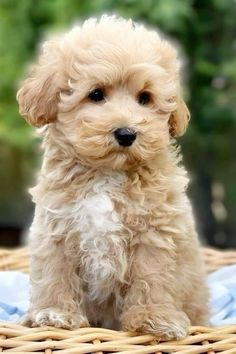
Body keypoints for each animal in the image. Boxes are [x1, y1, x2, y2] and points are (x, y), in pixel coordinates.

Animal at [16, 16, 208, 340]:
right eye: (96, 94)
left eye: (145, 98)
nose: (126, 133)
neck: (107, 174)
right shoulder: (57, 228)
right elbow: (55, 272)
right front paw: (55, 313)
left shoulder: (155, 232)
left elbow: (153, 275)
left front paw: (154, 318)